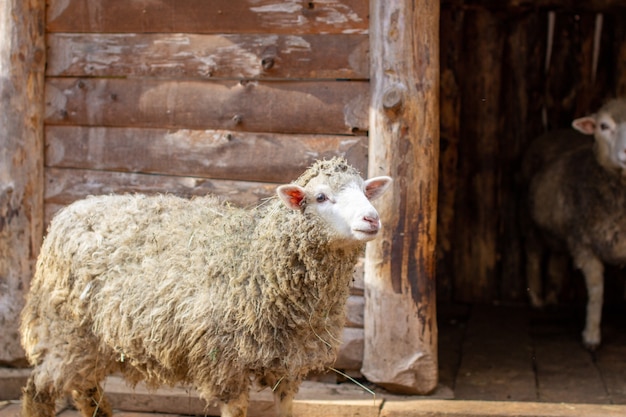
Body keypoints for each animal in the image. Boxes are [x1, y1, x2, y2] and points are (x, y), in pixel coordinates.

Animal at [19, 158, 390, 416]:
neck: (255, 258)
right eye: (321, 197)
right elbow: (235, 409)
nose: (372, 218)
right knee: (39, 389)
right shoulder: (225, 366)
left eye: (364, 190)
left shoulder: (288, 367)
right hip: (65, 331)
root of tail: (66, 214)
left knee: (85, 389)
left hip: (93, 340)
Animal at [520, 97, 624, 348]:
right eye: (603, 126)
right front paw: (591, 336)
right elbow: (596, 290)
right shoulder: (584, 245)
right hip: (531, 221)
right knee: (533, 255)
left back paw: (552, 299)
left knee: (557, 258)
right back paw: (537, 299)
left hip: (561, 230)